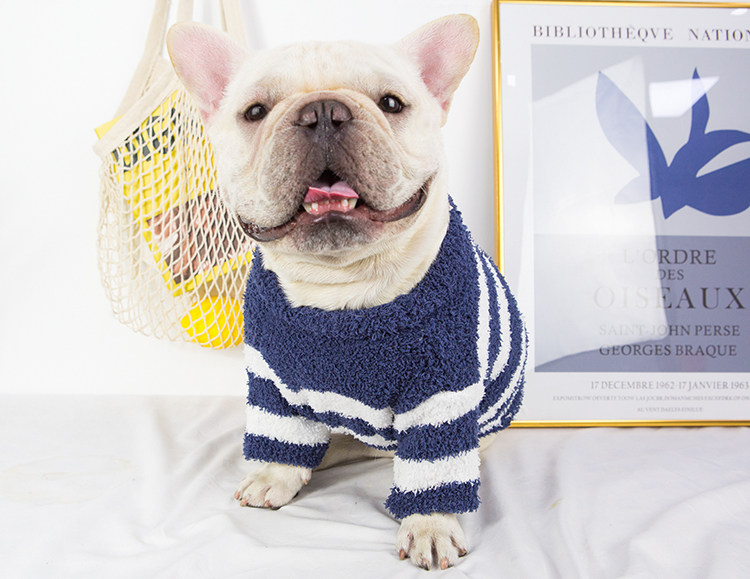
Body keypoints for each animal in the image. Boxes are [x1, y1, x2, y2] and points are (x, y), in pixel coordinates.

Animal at [167, 15, 527, 570]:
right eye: (255, 112)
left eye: (392, 104)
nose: (322, 112)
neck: (340, 285)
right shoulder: (272, 380)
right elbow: (281, 435)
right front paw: (276, 473)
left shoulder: (441, 395)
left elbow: (434, 467)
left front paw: (431, 524)